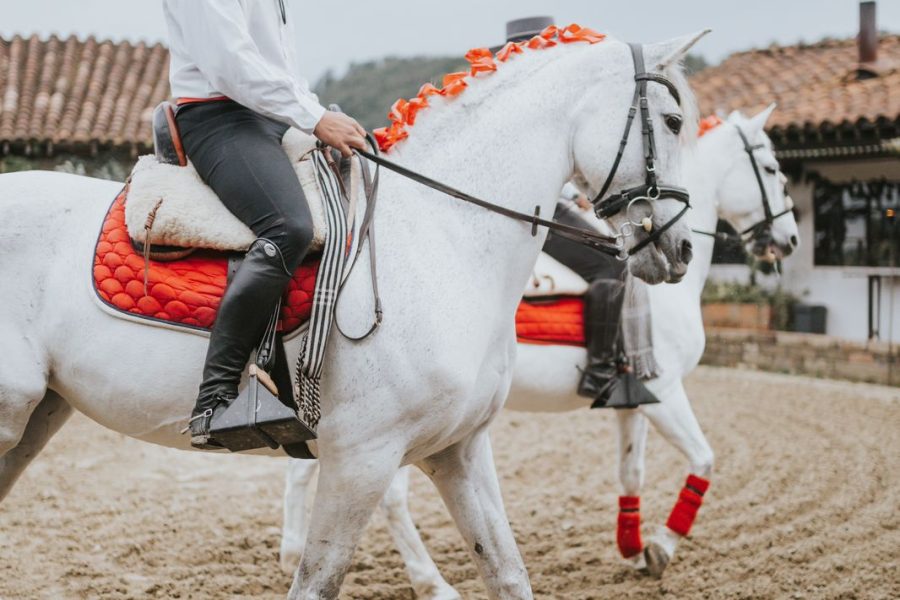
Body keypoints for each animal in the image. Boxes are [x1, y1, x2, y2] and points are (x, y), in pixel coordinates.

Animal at [0, 34, 704, 600]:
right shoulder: (360, 457)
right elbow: (318, 581)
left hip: (40, 415)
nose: (681, 249)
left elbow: (508, 573)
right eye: (672, 120)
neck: (442, 235)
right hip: (13, 411)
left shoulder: (459, 450)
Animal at [280, 106, 796, 596]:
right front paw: (662, 547)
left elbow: (631, 471)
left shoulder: (634, 399)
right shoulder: (664, 391)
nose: (789, 239)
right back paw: (429, 582)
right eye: (772, 168)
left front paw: (632, 547)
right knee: (386, 497)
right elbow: (704, 458)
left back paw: (294, 552)